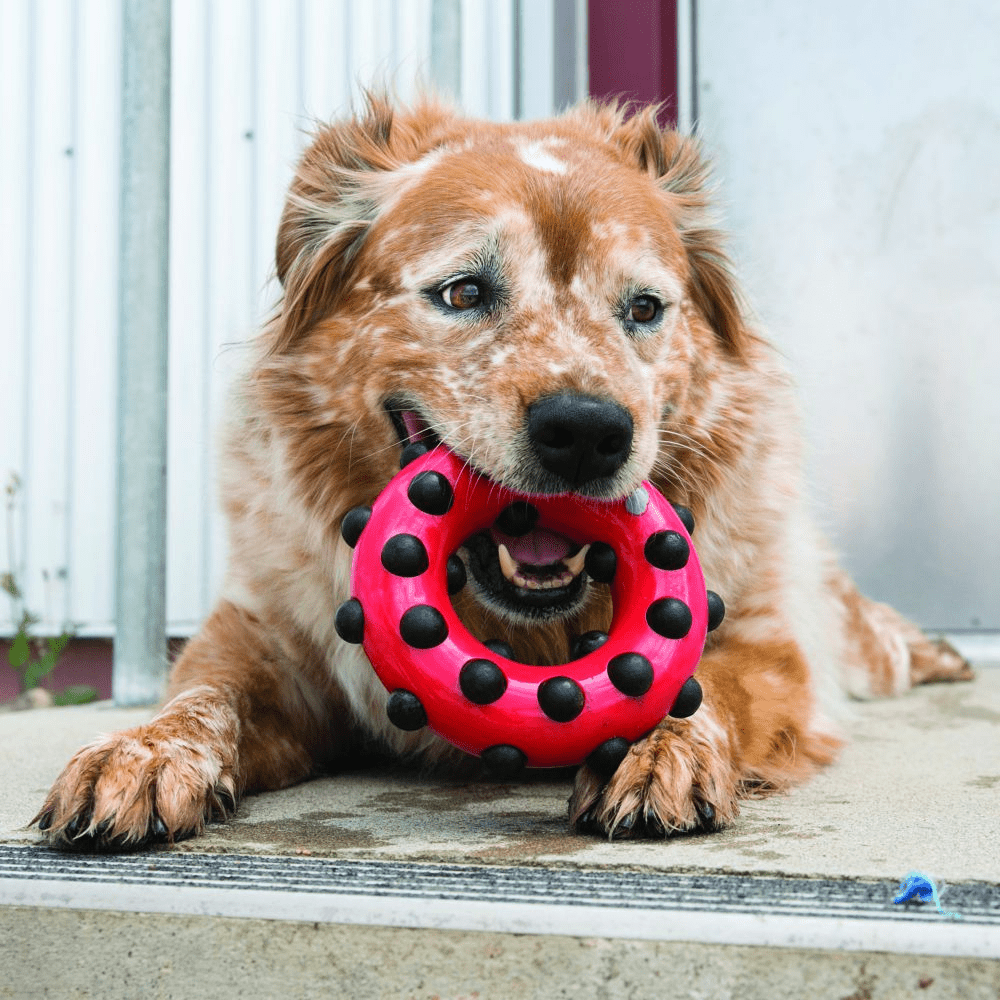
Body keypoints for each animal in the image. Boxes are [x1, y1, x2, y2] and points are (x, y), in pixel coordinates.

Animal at [33, 94, 968, 848]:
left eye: (644, 308)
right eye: (462, 293)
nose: (587, 432)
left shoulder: (771, 646)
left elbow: (706, 687)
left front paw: (655, 750)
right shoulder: (262, 638)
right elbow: (202, 697)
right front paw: (139, 754)